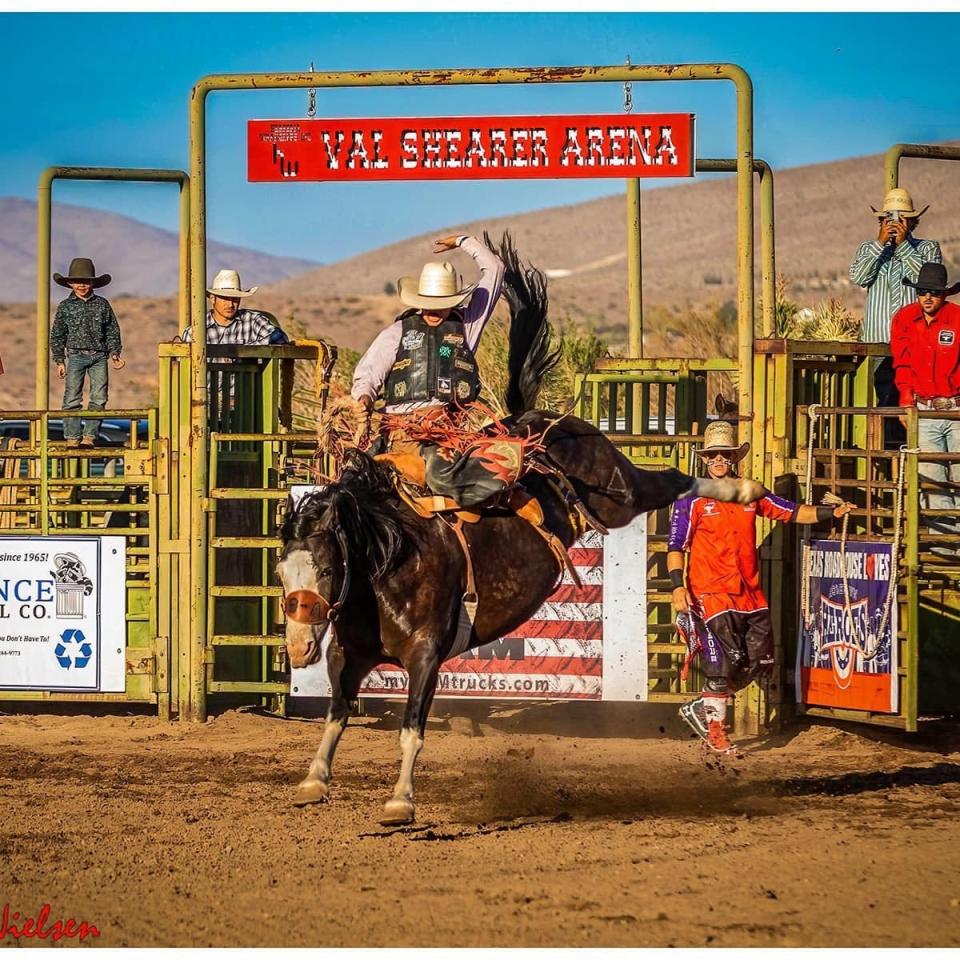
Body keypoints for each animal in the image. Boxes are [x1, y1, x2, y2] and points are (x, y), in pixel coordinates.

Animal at [276, 234, 756, 824]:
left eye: (326, 566)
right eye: (281, 571)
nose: (299, 646)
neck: (388, 560)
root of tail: (539, 425)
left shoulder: (426, 655)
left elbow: (411, 729)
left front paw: (400, 801)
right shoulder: (348, 653)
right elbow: (336, 715)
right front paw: (314, 779)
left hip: (618, 495)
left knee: (670, 481)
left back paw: (744, 491)